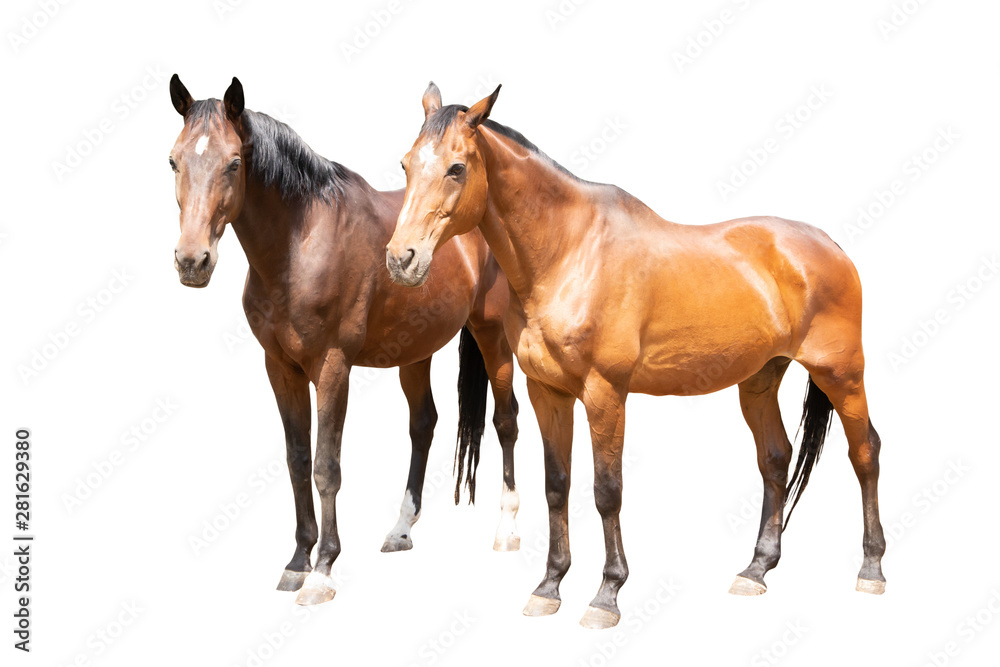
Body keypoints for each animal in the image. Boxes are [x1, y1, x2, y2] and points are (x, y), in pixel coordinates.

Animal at [166, 75, 521, 606]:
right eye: (173, 161)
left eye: (233, 162)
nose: (192, 261)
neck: (301, 244)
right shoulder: (280, 368)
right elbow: (296, 461)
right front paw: (297, 561)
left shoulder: (333, 367)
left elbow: (325, 466)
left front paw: (322, 570)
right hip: (414, 352)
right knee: (424, 424)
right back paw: (400, 530)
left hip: (493, 337)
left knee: (506, 421)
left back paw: (508, 530)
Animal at [385, 83, 886, 629]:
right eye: (406, 164)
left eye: (457, 168)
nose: (401, 259)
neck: (569, 253)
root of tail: (830, 246)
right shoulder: (548, 392)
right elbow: (557, 484)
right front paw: (549, 586)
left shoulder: (605, 394)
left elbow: (607, 491)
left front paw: (607, 594)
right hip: (759, 381)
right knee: (775, 460)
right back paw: (756, 570)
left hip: (843, 374)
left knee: (865, 453)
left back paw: (871, 569)